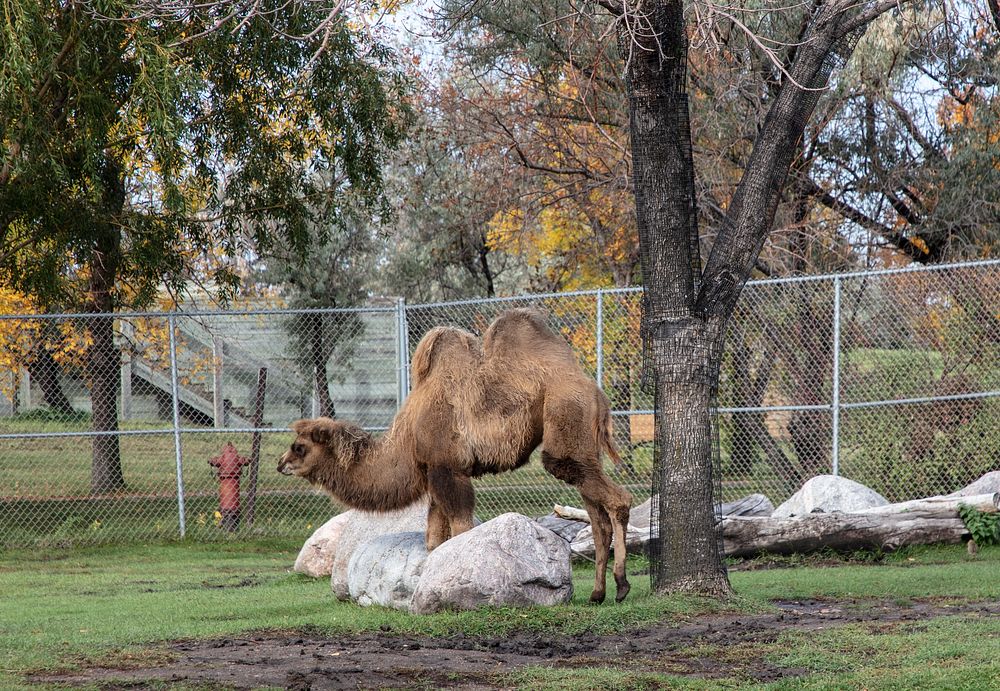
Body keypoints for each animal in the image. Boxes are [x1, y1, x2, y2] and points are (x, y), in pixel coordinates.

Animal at [276, 308, 632, 604]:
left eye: (299, 446)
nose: (281, 464)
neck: (407, 438)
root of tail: (596, 392)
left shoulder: (448, 468)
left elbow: (460, 528)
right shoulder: (434, 471)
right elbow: (434, 538)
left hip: (565, 422)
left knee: (616, 498)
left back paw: (621, 585)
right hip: (582, 444)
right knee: (597, 515)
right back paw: (598, 594)